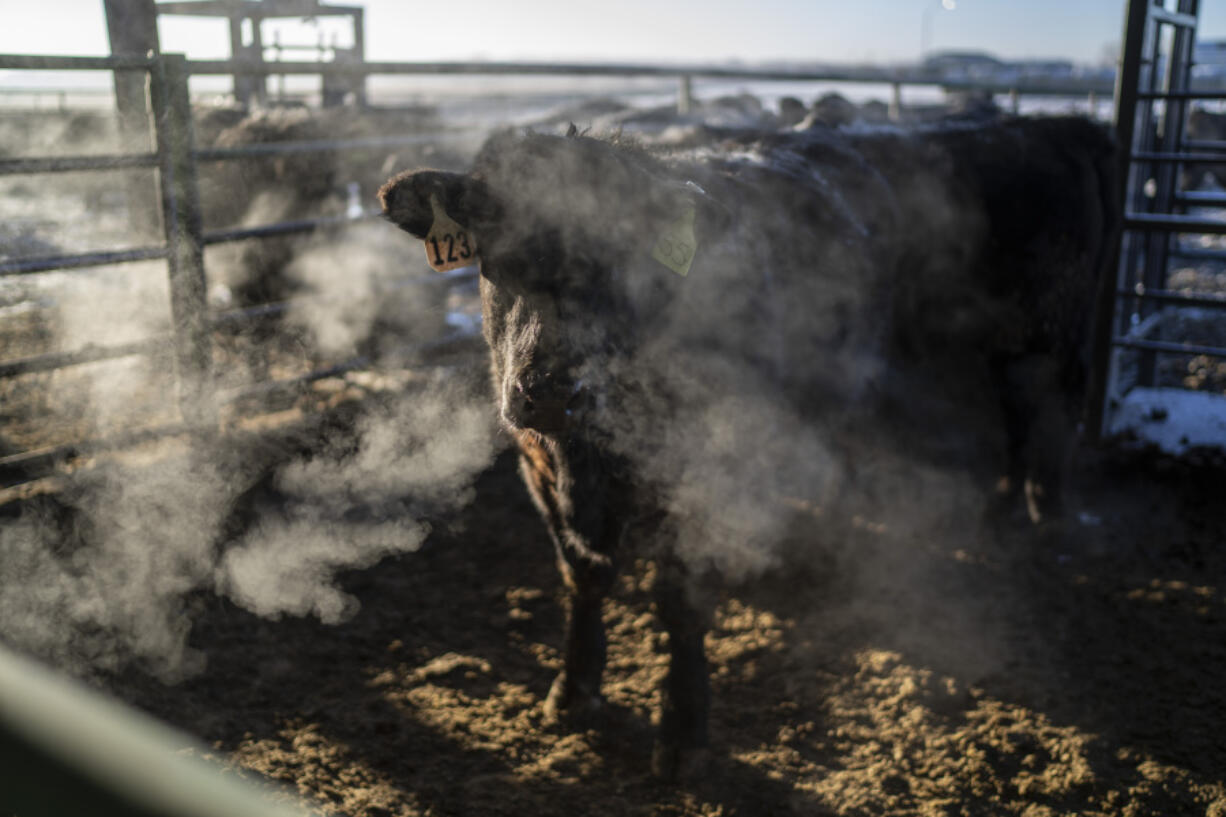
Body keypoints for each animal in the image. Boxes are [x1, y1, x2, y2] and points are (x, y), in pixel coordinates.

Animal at [380, 115, 1123, 775]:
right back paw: (997, 506)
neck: (588, 460)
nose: (550, 390)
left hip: (1044, 327)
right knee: (1010, 407)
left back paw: (1044, 512)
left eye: (625, 263)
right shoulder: (536, 465)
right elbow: (583, 578)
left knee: (1044, 404)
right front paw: (573, 691)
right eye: (496, 256)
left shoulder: (708, 473)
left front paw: (682, 732)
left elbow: (681, 602)